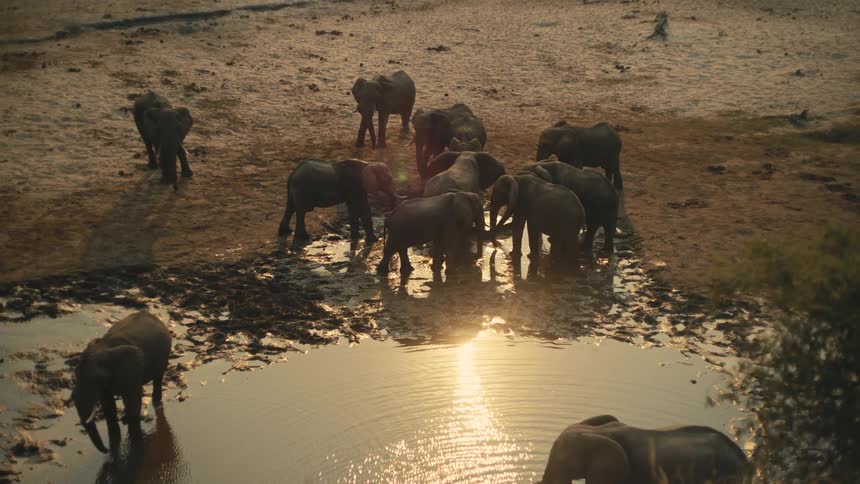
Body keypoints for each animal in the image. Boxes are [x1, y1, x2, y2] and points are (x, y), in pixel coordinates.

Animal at [71, 311, 172, 454]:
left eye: (98, 378)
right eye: (76, 375)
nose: (106, 450)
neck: (105, 349)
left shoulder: (131, 369)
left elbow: (132, 401)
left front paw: (135, 444)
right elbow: (108, 405)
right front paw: (115, 442)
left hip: (164, 355)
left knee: (158, 377)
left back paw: (156, 402)